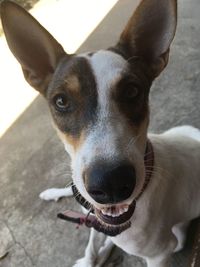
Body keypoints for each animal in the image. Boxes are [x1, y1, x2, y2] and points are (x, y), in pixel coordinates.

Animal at [1, 0, 200, 267]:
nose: (111, 183)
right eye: (61, 101)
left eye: (132, 91)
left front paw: (101, 250)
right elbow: (91, 239)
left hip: (178, 236)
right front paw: (91, 255)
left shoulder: (160, 254)